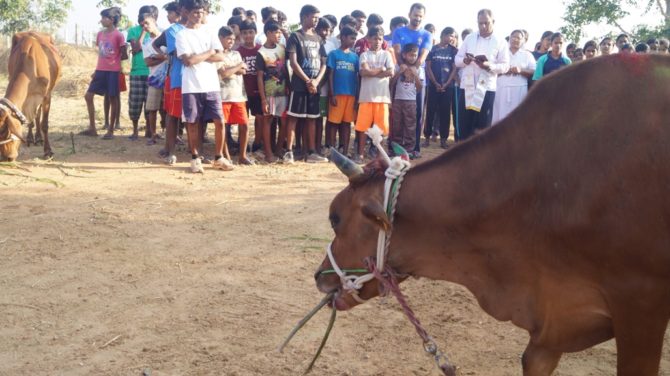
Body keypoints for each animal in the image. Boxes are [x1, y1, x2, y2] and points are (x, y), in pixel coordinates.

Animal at [0, 32, 62, 160]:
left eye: (5, 132)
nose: (6, 158)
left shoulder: (46, 96)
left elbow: (44, 124)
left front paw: (48, 151)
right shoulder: (26, 100)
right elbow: (28, 118)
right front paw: (29, 138)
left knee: (38, 114)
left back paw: (39, 138)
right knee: (35, 115)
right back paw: (33, 138)